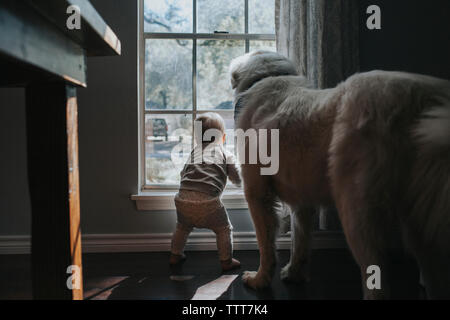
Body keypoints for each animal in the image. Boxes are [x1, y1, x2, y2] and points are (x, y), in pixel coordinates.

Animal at [230, 51, 450, 298]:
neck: (268, 76)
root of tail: (424, 102)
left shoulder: (257, 193)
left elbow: (266, 244)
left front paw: (260, 280)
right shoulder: (301, 198)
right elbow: (300, 239)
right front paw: (295, 274)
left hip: (357, 209)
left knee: (377, 279)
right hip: (421, 220)